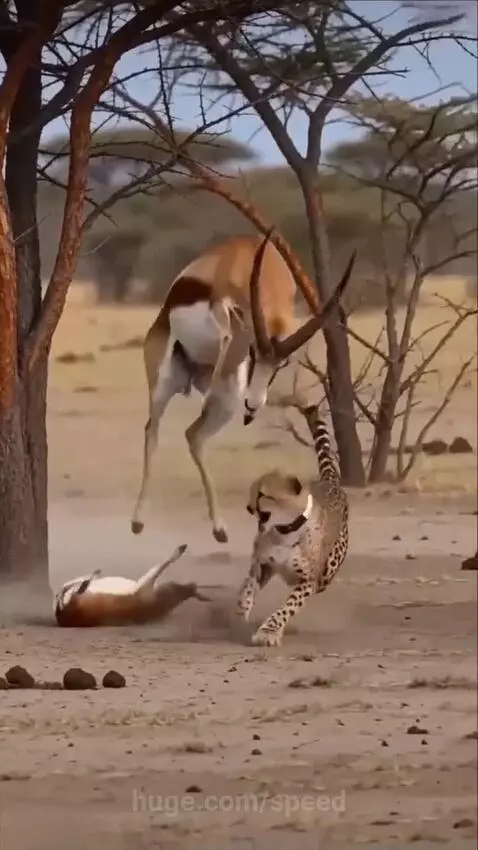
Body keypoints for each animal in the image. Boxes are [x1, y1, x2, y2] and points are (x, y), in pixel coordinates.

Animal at [54, 544, 212, 627]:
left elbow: (161, 566)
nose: (193, 584)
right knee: (69, 587)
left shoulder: (145, 584)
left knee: (69, 587)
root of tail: (64, 616)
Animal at [130, 230, 355, 545]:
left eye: (280, 365)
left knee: (194, 435)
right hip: (171, 386)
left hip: (228, 396)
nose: (252, 406)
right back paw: (138, 521)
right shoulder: (225, 313)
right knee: (153, 430)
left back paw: (219, 528)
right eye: (252, 353)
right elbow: (228, 325)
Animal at [236, 404, 349, 647]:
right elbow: (248, 586)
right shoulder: (263, 564)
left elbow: (286, 608)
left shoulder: (308, 581)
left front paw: (268, 632)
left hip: (327, 573)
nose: (248, 507)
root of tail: (329, 481)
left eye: (262, 494)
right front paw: (241, 610)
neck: (284, 530)